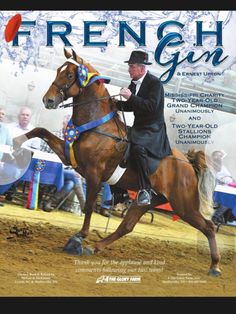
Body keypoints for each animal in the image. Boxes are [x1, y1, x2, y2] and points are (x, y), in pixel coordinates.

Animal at [13, 48, 221, 274]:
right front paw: (16, 143)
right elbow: (40, 130)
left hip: (183, 206)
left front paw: (79, 237)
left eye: (69, 75)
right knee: (126, 226)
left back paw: (215, 266)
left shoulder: (94, 174)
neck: (97, 126)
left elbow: (88, 207)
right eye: (60, 69)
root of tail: (188, 163)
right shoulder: (70, 156)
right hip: (149, 201)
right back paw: (95, 247)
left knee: (208, 227)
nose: (48, 100)